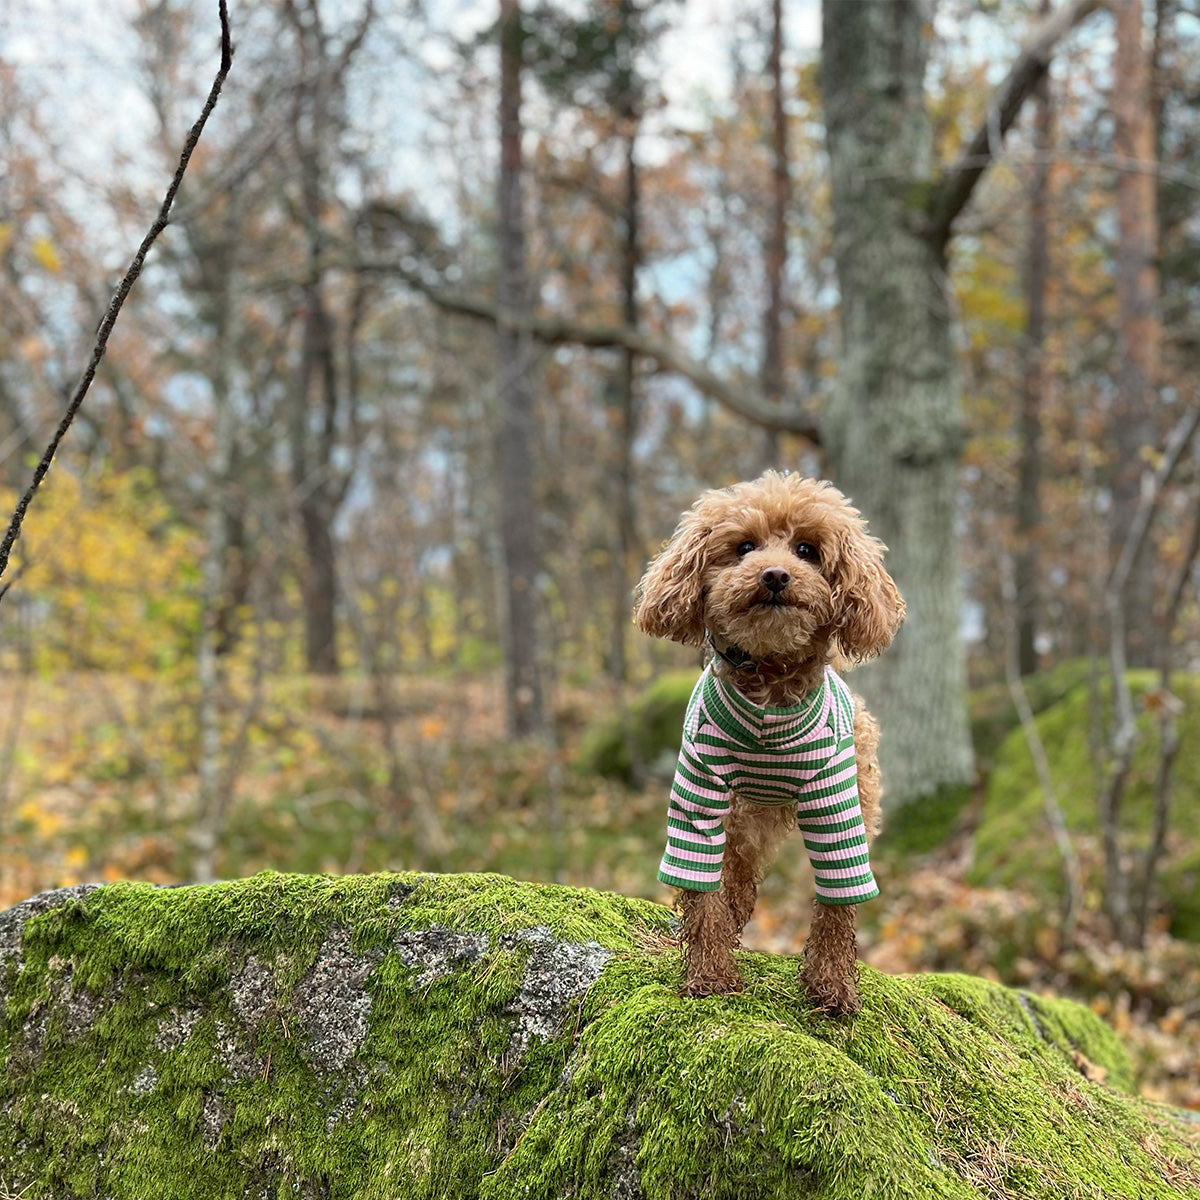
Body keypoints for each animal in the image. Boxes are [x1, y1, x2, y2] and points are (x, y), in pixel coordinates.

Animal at [638, 468, 902, 1012]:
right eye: (744, 547)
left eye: (807, 549)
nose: (775, 575)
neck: (770, 689)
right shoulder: (700, 793)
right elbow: (701, 889)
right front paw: (710, 975)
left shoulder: (836, 806)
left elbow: (838, 900)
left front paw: (832, 987)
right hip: (742, 817)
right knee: (735, 878)